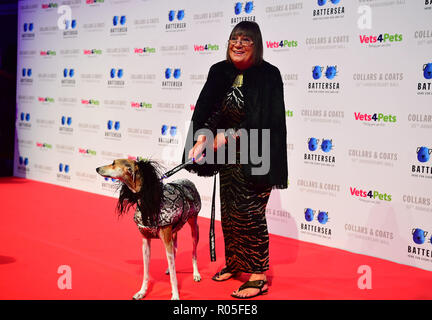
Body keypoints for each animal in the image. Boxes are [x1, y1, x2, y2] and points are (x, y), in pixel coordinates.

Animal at [96, 159, 201, 300]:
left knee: (193, 253)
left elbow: (174, 276)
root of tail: (187, 180)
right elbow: (146, 271)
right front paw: (142, 292)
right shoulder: (145, 242)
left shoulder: (166, 241)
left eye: (113, 163)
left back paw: (196, 274)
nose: (97, 168)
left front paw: (175, 295)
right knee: (175, 250)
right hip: (175, 230)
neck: (147, 200)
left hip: (194, 228)